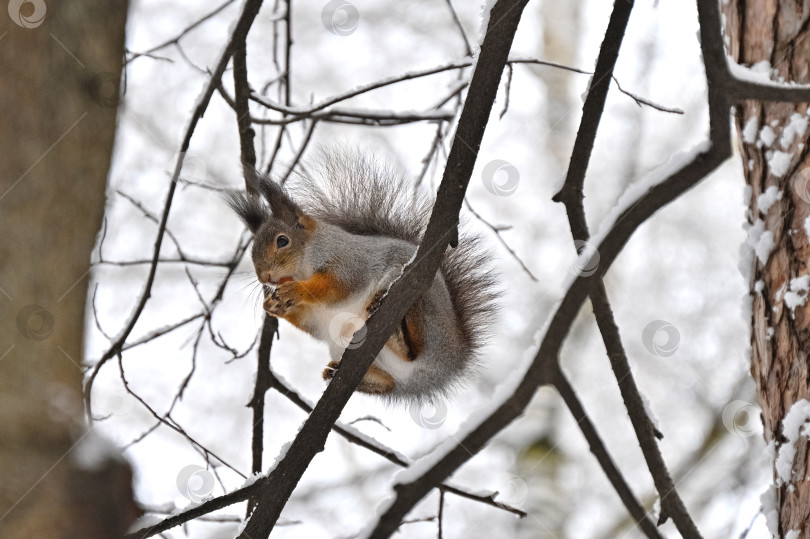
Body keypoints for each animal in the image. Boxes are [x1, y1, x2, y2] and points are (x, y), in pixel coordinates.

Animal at [224, 152, 496, 400]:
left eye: (282, 240)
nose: (264, 277)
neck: (303, 267)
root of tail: (452, 363)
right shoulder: (316, 317)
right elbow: (309, 321)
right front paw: (273, 305)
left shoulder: (349, 261)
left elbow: (339, 286)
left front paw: (295, 291)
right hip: (348, 350)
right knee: (389, 384)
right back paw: (345, 374)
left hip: (427, 306)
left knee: (417, 345)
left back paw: (398, 332)